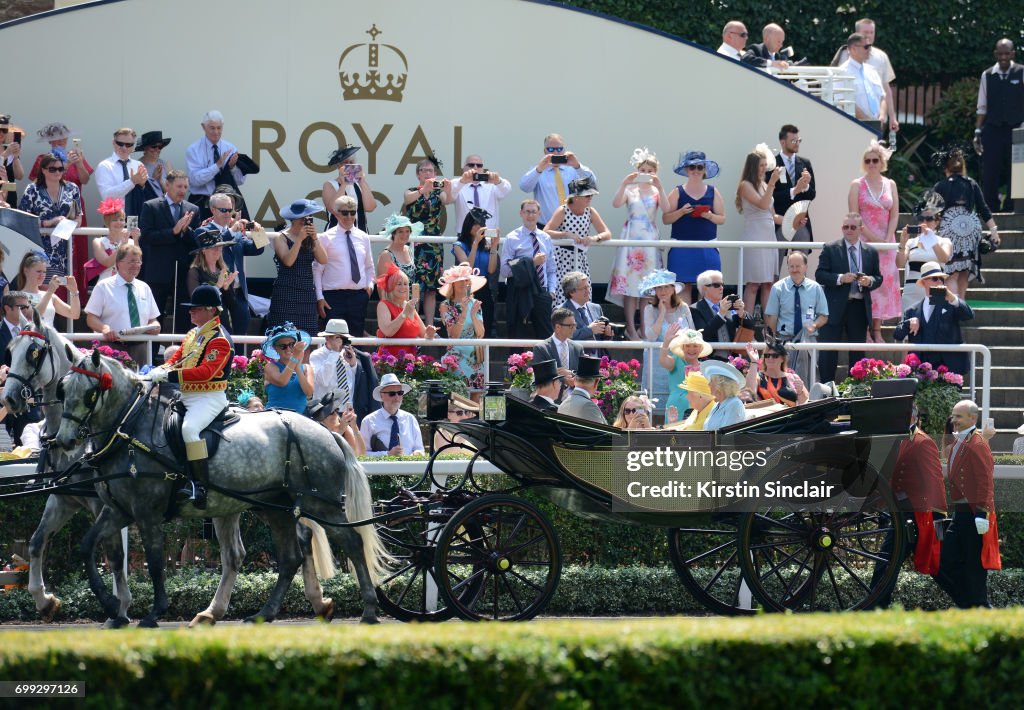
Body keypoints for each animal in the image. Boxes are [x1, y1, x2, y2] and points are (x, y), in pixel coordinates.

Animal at [52, 346, 387, 622]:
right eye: (63, 388)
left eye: (90, 391)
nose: (65, 440)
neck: (132, 427)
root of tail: (326, 431)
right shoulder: (117, 511)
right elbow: (87, 547)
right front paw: (111, 605)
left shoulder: (147, 513)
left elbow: (155, 561)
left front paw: (154, 613)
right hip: (275, 507)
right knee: (290, 556)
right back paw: (264, 613)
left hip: (322, 504)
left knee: (352, 543)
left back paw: (370, 610)